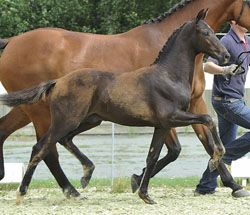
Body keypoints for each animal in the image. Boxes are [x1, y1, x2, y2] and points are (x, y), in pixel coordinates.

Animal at [0, 0, 250, 197]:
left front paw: (234, 185)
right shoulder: (168, 116)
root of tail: (12, 42)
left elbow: (204, 141)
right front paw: (138, 181)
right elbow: (175, 149)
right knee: (46, 148)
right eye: (248, 3)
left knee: (15, 133)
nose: (227, 56)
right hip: (42, 112)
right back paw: (69, 190)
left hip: (41, 111)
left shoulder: (194, 102)